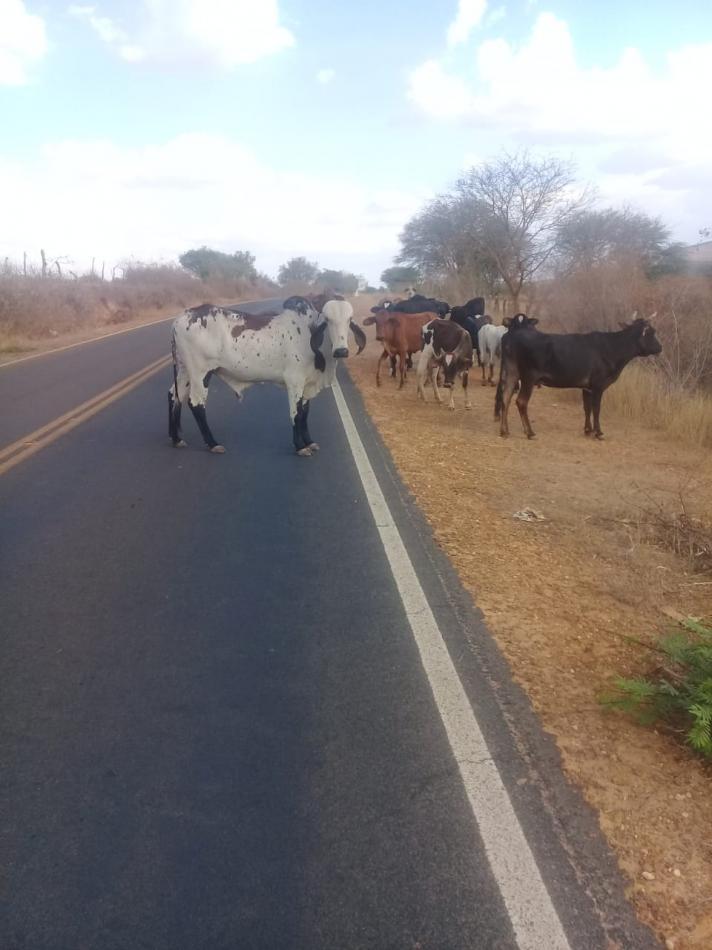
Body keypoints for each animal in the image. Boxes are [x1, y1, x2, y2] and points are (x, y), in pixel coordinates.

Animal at [168, 300, 368, 460]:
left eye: (350, 319)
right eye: (327, 320)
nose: (341, 351)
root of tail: (178, 320)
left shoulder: (306, 385)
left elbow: (305, 412)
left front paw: (309, 441)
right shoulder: (294, 381)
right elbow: (296, 413)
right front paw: (300, 446)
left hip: (185, 371)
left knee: (173, 396)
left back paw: (176, 438)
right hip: (201, 372)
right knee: (196, 404)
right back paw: (212, 443)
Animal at [496, 316, 660, 442]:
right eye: (652, 332)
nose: (660, 347)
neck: (612, 348)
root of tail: (512, 335)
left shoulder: (586, 387)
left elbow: (587, 408)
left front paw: (588, 430)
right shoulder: (598, 385)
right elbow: (596, 408)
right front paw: (598, 432)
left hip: (511, 372)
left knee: (506, 397)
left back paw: (504, 431)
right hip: (529, 377)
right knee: (521, 401)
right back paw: (530, 432)